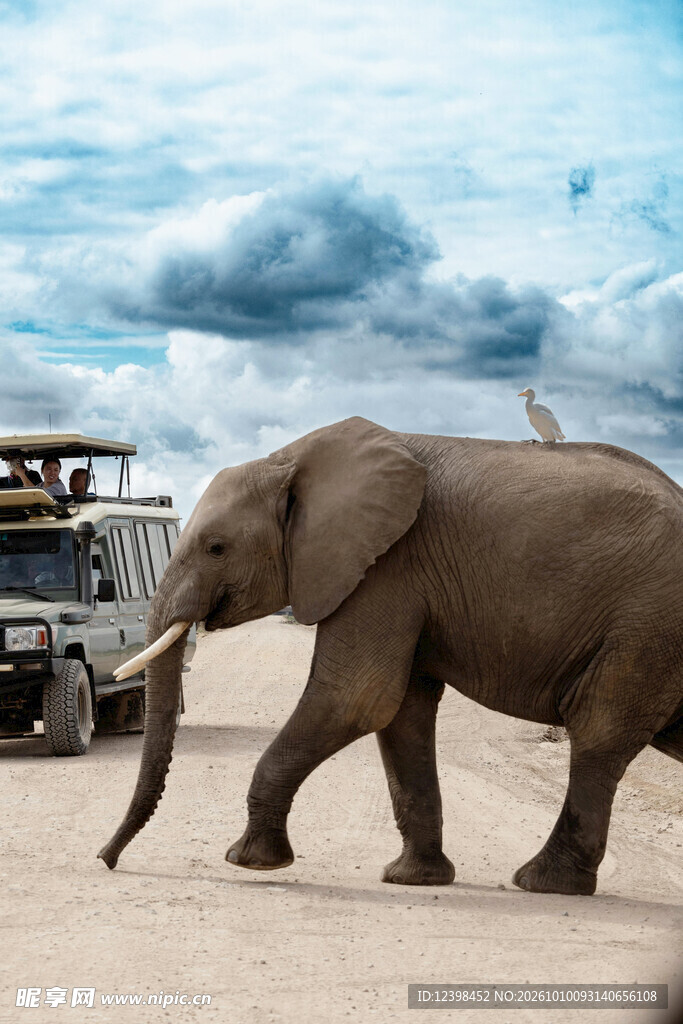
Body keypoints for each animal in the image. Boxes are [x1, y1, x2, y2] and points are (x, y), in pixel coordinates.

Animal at [99, 416, 683, 895]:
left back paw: (543, 883)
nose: (106, 859)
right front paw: (413, 879)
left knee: (599, 731)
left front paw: (249, 862)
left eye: (216, 548)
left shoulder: (387, 566)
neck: (289, 459)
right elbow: (401, 714)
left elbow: (356, 698)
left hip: (645, 624)